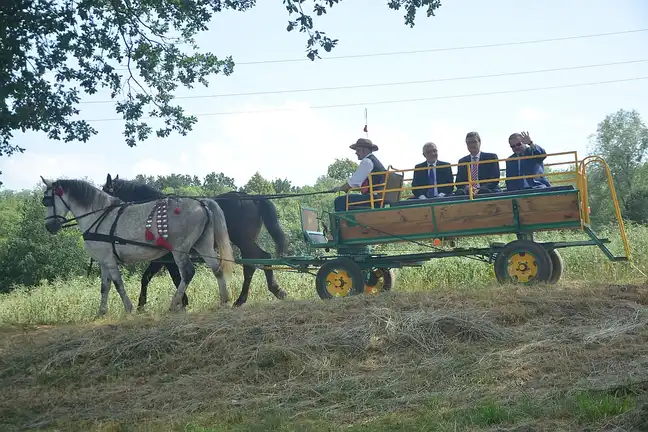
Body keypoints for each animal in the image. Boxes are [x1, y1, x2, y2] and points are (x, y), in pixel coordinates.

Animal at [39, 176, 235, 318]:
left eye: (47, 200)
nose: (49, 226)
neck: (99, 215)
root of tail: (202, 202)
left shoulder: (110, 260)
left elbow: (118, 284)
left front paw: (129, 308)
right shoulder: (103, 261)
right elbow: (104, 287)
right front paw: (101, 312)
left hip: (180, 249)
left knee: (187, 273)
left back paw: (174, 304)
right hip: (203, 245)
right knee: (217, 269)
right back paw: (224, 299)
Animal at [101, 174, 288, 308]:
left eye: (105, 190)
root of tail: (253, 198)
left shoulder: (167, 257)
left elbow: (172, 277)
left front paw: (180, 302)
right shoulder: (164, 258)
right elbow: (151, 277)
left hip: (243, 240)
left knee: (259, 260)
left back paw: (261, 294)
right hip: (245, 241)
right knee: (254, 262)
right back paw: (257, 295)